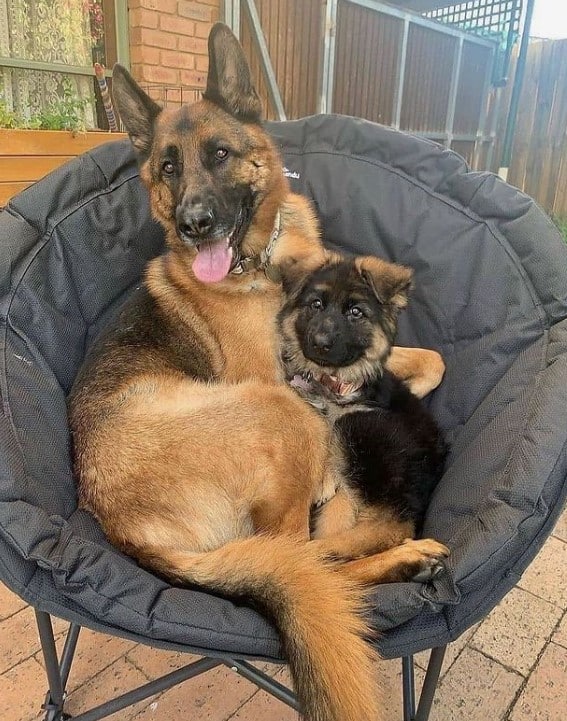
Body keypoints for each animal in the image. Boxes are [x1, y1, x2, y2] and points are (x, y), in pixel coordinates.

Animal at [278, 252, 448, 564]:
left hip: (366, 440)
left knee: (389, 527)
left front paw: (325, 477)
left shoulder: (351, 419)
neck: (332, 382)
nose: (319, 343)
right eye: (316, 304)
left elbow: (328, 430)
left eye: (356, 312)